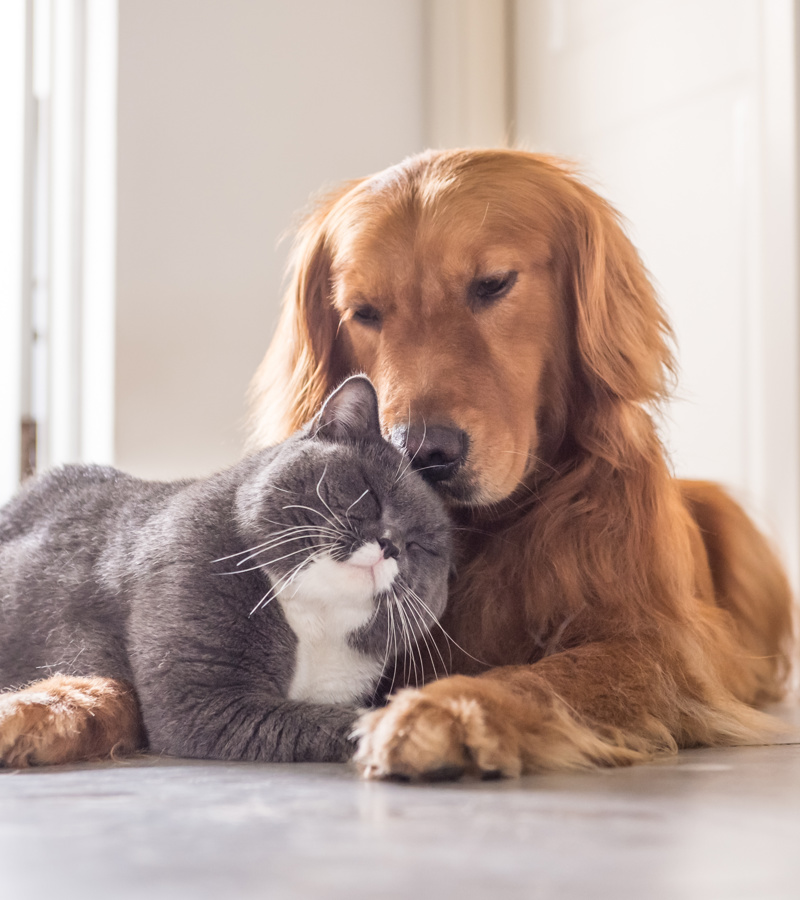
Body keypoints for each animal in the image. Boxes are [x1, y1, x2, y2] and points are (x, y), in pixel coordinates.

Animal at [0, 376, 450, 764]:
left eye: (422, 545)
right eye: (370, 495)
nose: (392, 545)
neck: (315, 618)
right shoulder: (207, 701)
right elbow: (326, 720)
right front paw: (407, 728)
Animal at [248, 149, 792, 780]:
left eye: (493, 284)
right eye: (363, 312)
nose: (421, 452)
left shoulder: (658, 648)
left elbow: (547, 677)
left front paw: (448, 709)